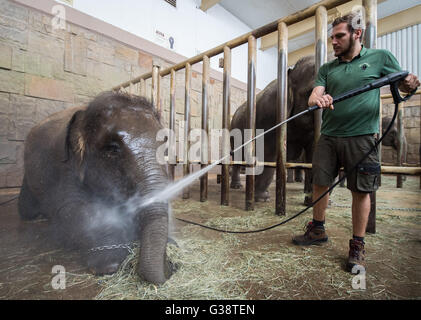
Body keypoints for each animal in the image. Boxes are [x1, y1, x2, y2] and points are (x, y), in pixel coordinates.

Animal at [18, 91, 171, 284]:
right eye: (112, 148)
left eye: (165, 148)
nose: (168, 270)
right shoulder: (65, 166)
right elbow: (73, 209)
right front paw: (109, 265)